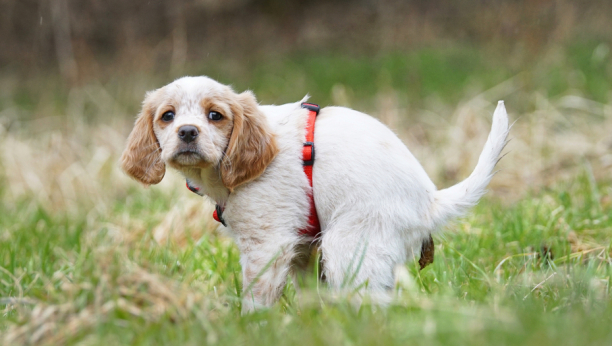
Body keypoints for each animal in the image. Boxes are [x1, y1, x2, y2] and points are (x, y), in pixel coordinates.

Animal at [122, 76, 510, 314]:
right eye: (168, 116)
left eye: (215, 115)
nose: (187, 132)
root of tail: (429, 201)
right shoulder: (302, 246)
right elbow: (308, 293)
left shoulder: (267, 243)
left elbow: (257, 297)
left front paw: (251, 326)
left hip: (349, 247)